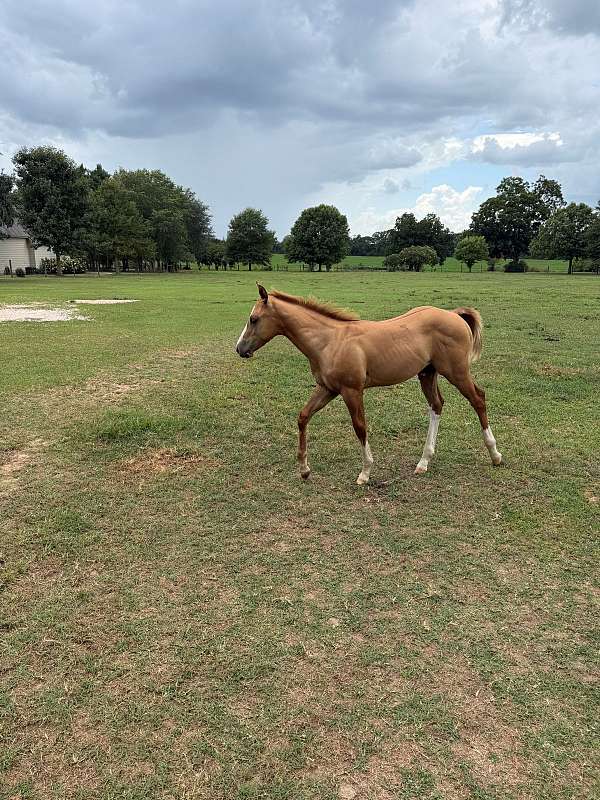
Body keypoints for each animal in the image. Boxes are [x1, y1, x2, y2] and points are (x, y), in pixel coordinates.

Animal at [236, 284, 502, 485]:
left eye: (253, 319)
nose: (239, 349)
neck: (329, 341)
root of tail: (454, 314)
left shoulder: (352, 391)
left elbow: (360, 427)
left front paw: (365, 472)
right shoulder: (327, 389)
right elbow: (303, 417)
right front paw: (304, 469)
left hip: (456, 372)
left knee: (478, 399)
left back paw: (495, 455)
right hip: (427, 373)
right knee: (437, 405)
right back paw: (423, 462)